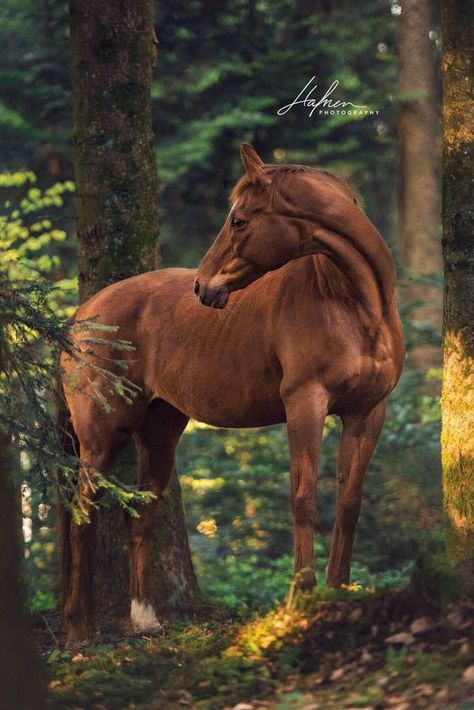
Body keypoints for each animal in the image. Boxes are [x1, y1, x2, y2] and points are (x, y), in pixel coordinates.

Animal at [60, 143, 404, 644]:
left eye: (239, 220)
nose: (203, 287)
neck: (352, 304)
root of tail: (81, 316)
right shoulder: (305, 404)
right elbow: (304, 499)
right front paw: (302, 595)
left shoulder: (367, 412)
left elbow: (349, 503)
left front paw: (339, 589)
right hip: (103, 437)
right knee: (82, 513)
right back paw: (78, 631)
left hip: (159, 433)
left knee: (140, 516)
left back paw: (145, 619)